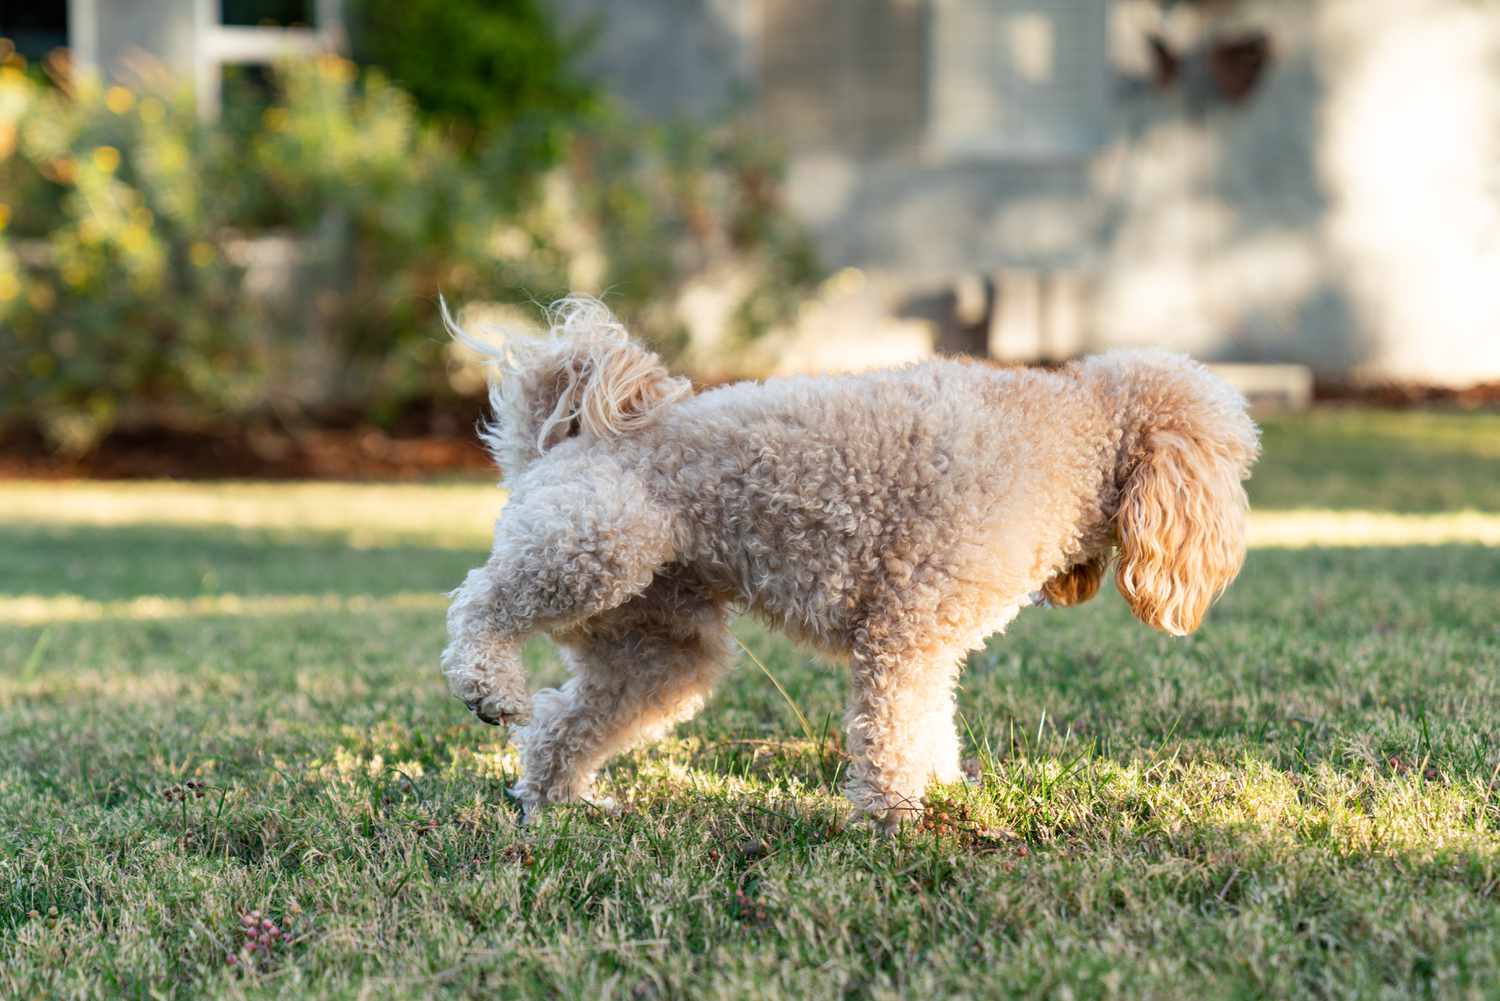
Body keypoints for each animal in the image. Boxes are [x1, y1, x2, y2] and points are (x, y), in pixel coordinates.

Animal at [438, 297, 1260, 828]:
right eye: (1232, 464)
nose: (1229, 552)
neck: (1074, 435)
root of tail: (560, 441)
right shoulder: (905, 630)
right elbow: (894, 729)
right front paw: (895, 818)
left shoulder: (931, 643)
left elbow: (930, 725)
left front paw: (940, 795)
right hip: (592, 549)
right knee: (479, 604)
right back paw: (488, 685)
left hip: (657, 645)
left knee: (562, 722)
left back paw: (557, 801)